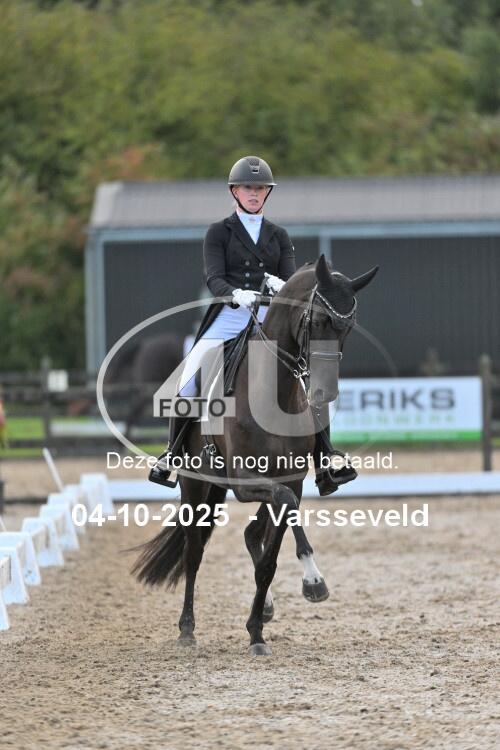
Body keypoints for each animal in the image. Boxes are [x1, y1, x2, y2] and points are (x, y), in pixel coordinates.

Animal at [132, 254, 378, 655]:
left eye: (349, 327)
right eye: (318, 321)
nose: (323, 393)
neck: (274, 391)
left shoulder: (292, 480)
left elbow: (269, 558)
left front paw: (257, 631)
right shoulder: (244, 482)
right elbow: (279, 517)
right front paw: (313, 582)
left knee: (251, 533)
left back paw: (264, 609)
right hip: (195, 486)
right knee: (193, 550)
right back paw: (187, 629)